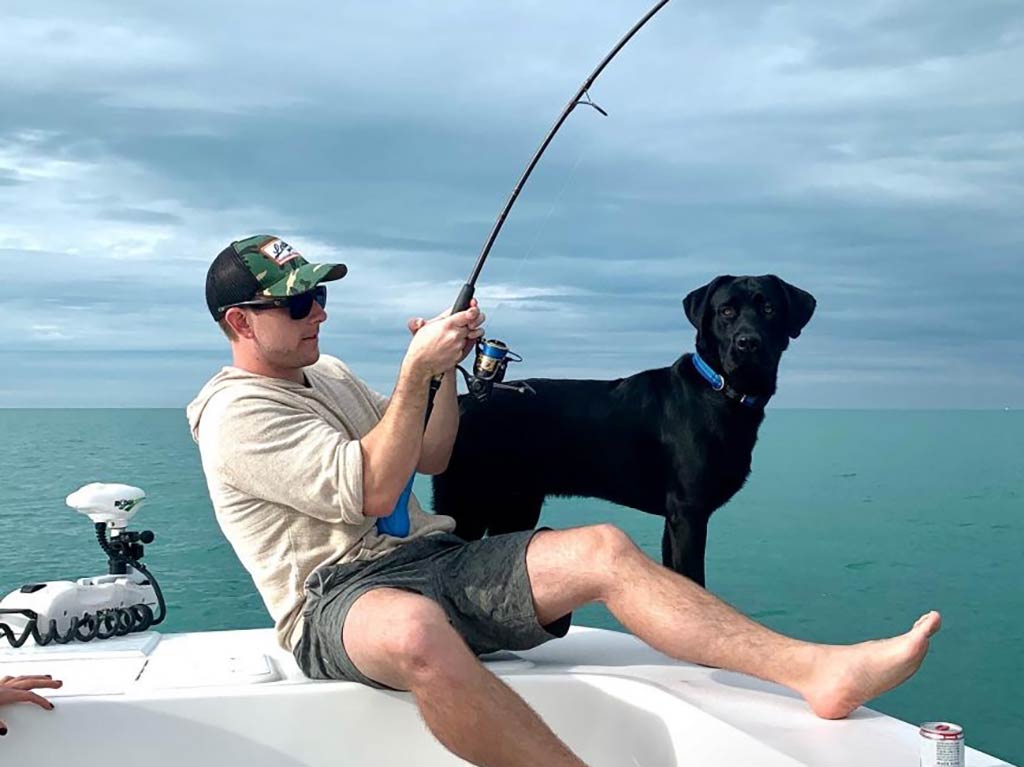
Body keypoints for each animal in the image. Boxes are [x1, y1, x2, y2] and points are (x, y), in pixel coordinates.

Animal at [432, 276, 815, 585]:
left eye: (769, 308)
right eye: (726, 311)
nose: (748, 343)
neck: (719, 390)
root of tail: (463, 401)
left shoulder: (674, 519)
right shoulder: (689, 512)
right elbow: (694, 579)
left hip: (515, 507)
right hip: (465, 505)